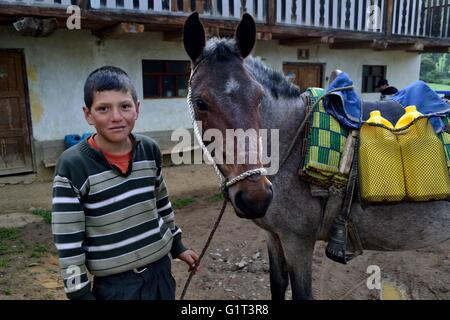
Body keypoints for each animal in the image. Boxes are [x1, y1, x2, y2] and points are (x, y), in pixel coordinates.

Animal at [182, 12, 450, 300]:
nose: (256, 197)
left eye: (259, 97)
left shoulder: (298, 242)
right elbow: (277, 285)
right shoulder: (274, 237)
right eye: (200, 103)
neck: (294, 141)